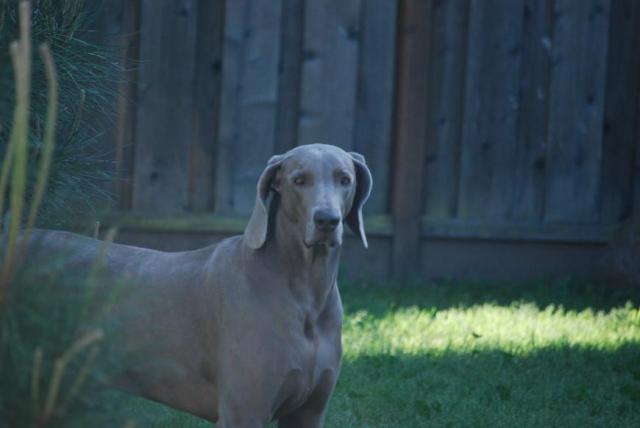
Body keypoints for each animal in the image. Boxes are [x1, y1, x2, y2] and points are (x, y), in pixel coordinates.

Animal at [27, 145, 372, 428]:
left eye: (344, 179)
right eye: (298, 180)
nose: (327, 220)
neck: (304, 289)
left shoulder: (308, 413)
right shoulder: (243, 413)